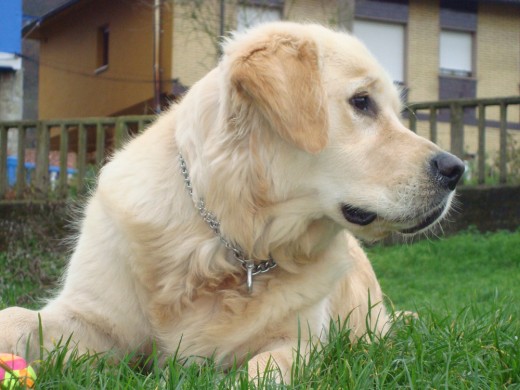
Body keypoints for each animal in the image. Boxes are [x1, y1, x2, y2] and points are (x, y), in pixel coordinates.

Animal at [0, 21, 464, 380]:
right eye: (362, 102)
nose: (456, 169)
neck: (229, 242)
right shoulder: (93, 319)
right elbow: (17, 317)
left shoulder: (301, 341)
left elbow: (265, 369)